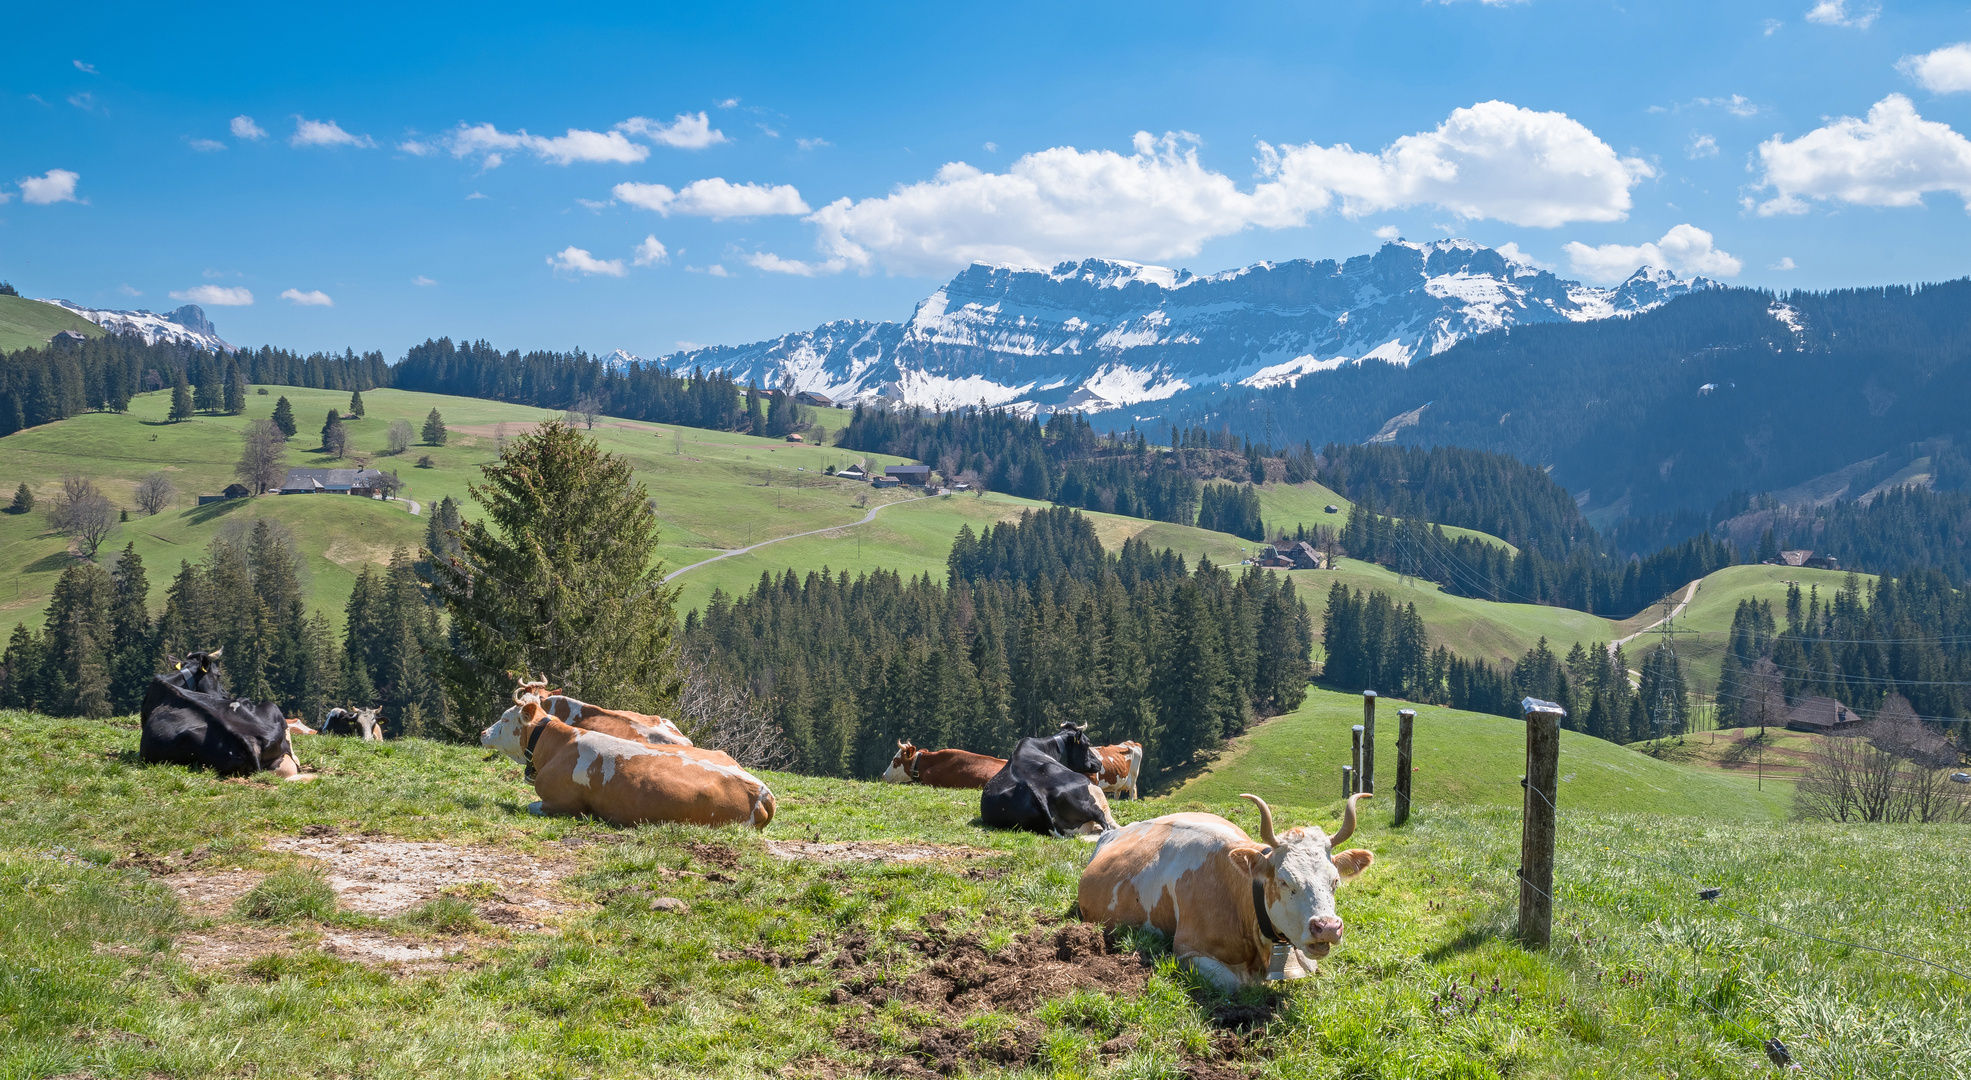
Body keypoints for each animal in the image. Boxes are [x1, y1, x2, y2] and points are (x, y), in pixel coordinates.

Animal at [478, 705, 776, 831]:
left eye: (505, 718)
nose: (482, 732)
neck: (557, 745)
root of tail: (762, 791)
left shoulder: (561, 804)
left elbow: (531, 806)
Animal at [1080, 788, 1371, 993]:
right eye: (1284, 881)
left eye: (1335, 881)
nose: (1328, 927)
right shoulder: (1187, 950)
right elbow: (1234, 984)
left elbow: (1309, 966)